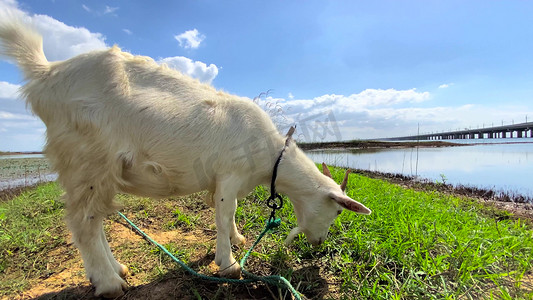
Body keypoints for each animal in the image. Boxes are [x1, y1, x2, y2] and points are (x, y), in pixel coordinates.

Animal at [0, 19, 370, 298]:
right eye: (338, 210)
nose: (318, 243)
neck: (271, 156)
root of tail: (46, 75)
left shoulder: (222, 181)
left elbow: (229, 212)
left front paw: (237, 240)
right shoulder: (230, 174)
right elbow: (224, 214)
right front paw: (229, 264)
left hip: (98, 170)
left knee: (96, 218)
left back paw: (117, 269)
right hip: (86, 156)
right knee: (82, 222)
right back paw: (109, 283)